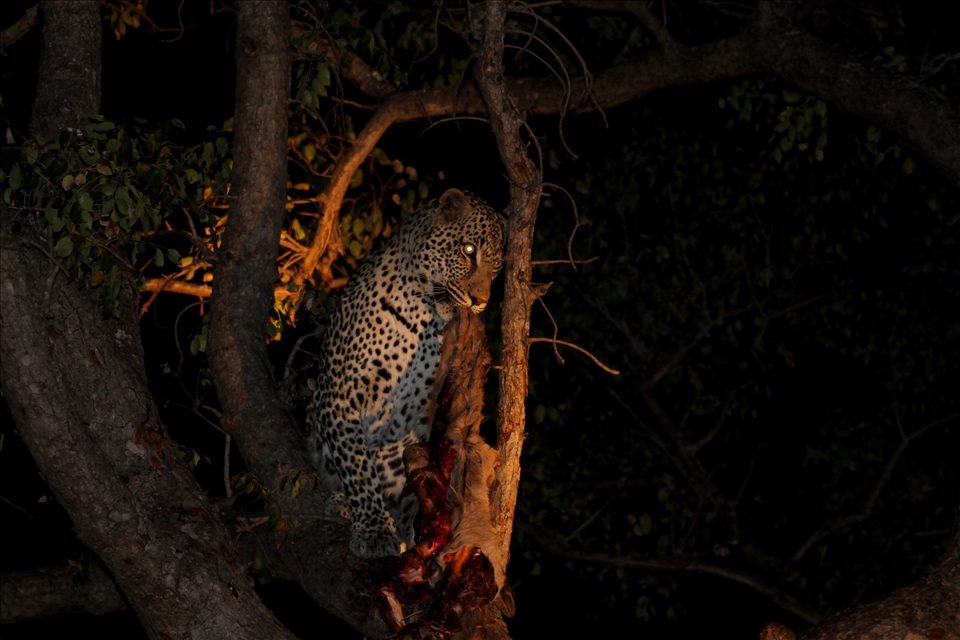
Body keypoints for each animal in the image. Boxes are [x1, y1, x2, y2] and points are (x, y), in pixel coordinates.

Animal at [306, 188, 505, 558]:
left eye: (497, 266)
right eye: (469, 250)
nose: (480, 301)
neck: (424, 312)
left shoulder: (421, 417)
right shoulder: (339, 396)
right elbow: (358, 468)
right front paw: (373, 530)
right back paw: (342, 504)